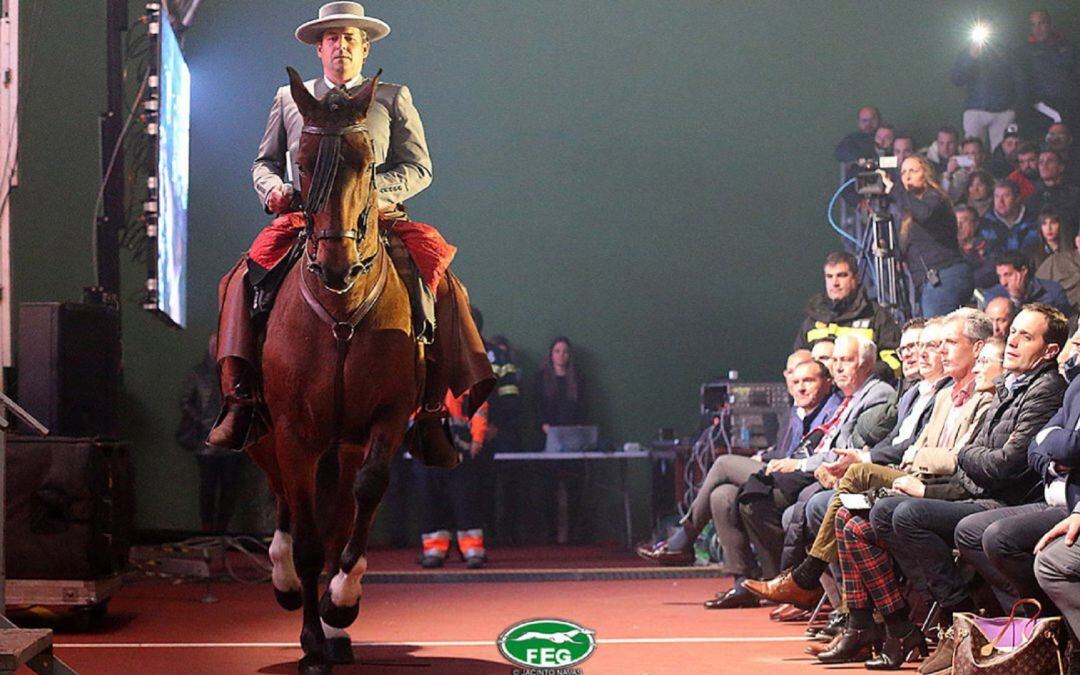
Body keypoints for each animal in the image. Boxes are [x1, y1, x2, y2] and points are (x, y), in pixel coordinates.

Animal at [248, 67, 421, 669]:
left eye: (367, 164)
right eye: (300, 162)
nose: (337, 265)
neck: (341, 315)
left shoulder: (386, 416)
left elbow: (363, 496)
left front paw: (342, 602)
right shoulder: (293, 431)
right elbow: (305, 540)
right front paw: (310, 641)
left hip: (343, 443)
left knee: (340, 508)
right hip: (263, 430)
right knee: (278, 491)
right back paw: (284, 583)